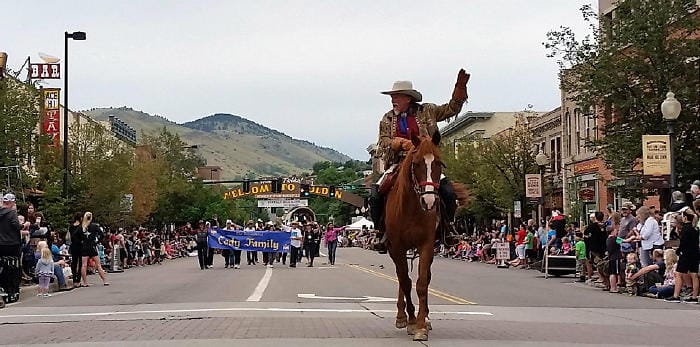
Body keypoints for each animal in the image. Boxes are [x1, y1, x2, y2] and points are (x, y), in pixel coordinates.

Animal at [386, 131, 468, 342]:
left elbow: (422, 283)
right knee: (401, 277)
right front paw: (411, 320)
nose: (430, 201)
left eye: (439, 163)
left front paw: (422, 325)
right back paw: (401, 317)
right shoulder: (397, 246)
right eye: (416, 164)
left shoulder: (427, 245)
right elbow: (406, 282)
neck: (412, 209)